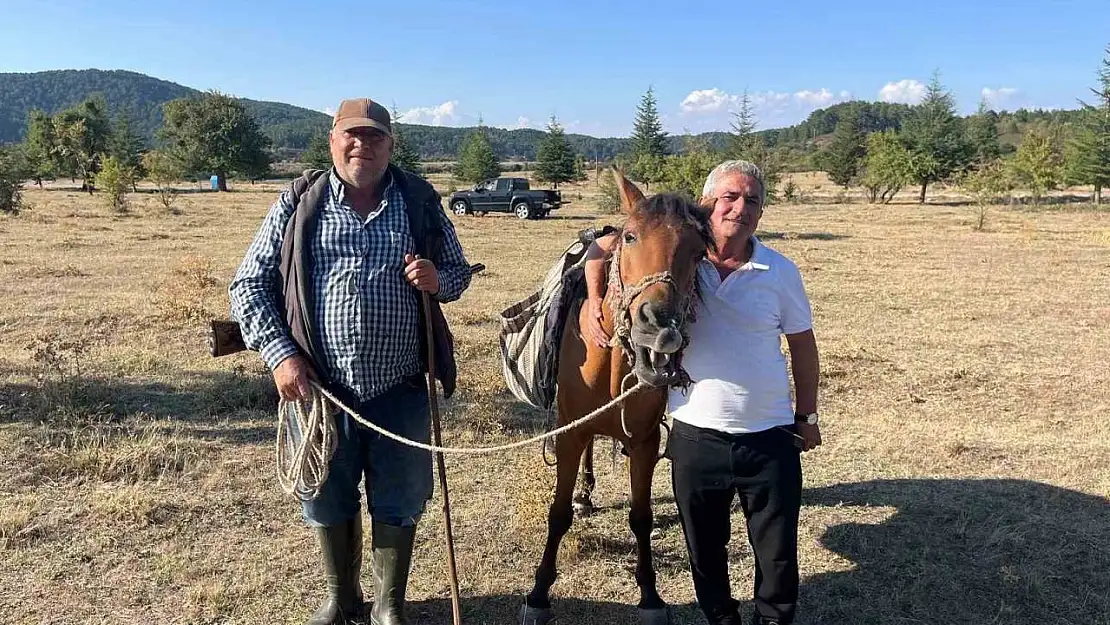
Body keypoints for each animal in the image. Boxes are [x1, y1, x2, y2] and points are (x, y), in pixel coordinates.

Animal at [519, 169, 710, 625]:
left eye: (699, 253)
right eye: (631, 236)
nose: (659, 325)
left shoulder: (644, 443)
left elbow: (641, 518)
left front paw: (651, 596)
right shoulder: (568, 434)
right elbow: (557, 514)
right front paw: (538, 593)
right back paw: (584, 495)